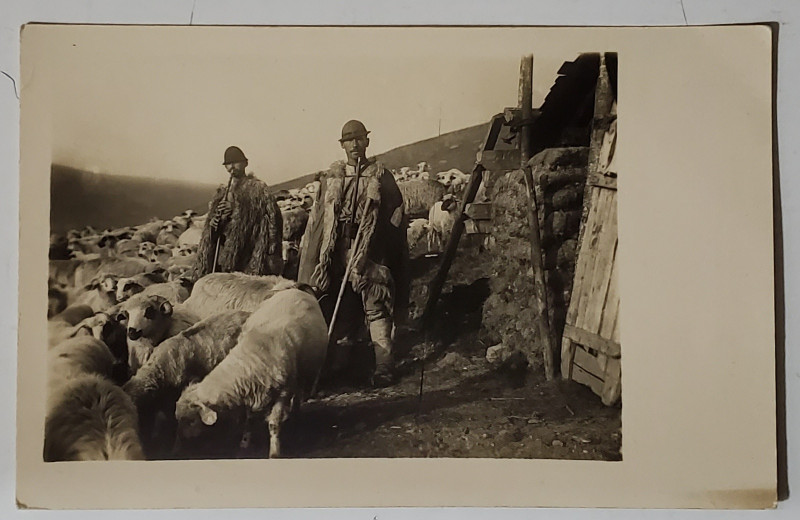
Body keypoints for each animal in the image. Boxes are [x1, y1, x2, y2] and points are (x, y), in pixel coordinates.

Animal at [174, 288, 324, 460]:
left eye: (191, 420)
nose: (179, 448)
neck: (252, 356)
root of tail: (295, 289)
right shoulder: (250, 391)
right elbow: (249, 419)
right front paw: (245, 442)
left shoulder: (283, 392)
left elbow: (274, 424)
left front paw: (274, 452)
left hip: (303, 373)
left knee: (298, 392)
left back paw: (295, 415)